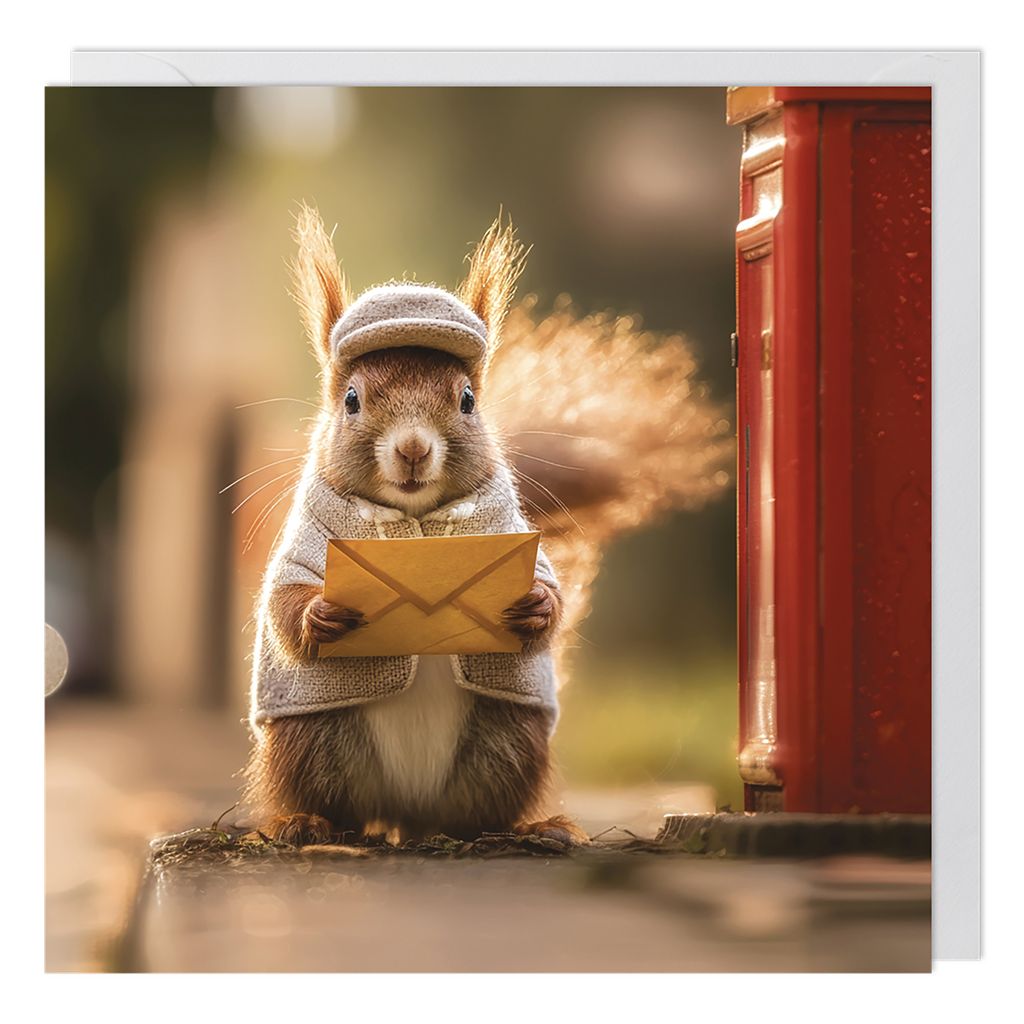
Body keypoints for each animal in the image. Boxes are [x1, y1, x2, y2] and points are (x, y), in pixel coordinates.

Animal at [243, 204, 733, 847]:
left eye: (468, 400)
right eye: (350, 399)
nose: (413, 449)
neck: (418, 519)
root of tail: (406, 813)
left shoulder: (517, 533)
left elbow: (550, 589)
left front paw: (537, 606)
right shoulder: (307, 542)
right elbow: (284, 602)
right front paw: (320, 612)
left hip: (507, 743)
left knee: (479, 811)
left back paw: (530, 828)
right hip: (313, 742)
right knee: (333, 801)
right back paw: (306, 822)